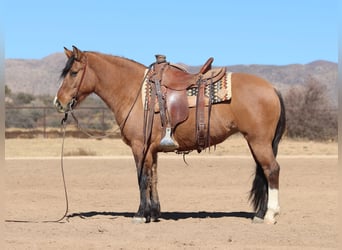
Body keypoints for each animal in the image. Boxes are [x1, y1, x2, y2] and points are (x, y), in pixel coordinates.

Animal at [54, 45, 286, 225]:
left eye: (73, 72)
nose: (59, 102)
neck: (134, 93)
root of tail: (272, 88)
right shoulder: (152, 149)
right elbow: (154, 177)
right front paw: (154, 213)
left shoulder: (140, 147)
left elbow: (142, 178)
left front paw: (140, 214)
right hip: (256, 142)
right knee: (264, 171)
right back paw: (259, 214)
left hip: (259, 141)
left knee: (272, 170)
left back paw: (270, 215)